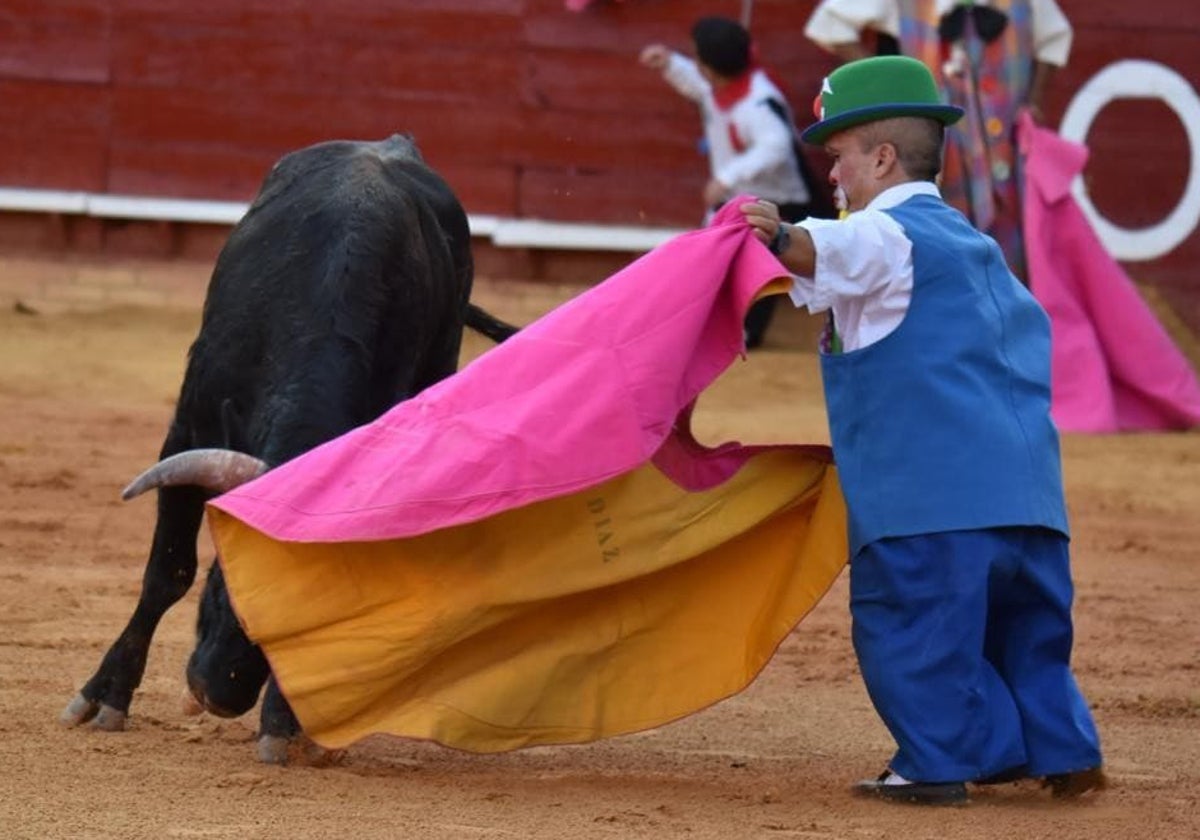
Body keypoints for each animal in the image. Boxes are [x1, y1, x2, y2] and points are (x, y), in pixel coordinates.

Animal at [60, 134, 518, 763]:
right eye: (227, 582)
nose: (219, 694)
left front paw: (284, 722)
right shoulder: (188, 428)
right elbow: (167, 573)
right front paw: (105, 697)